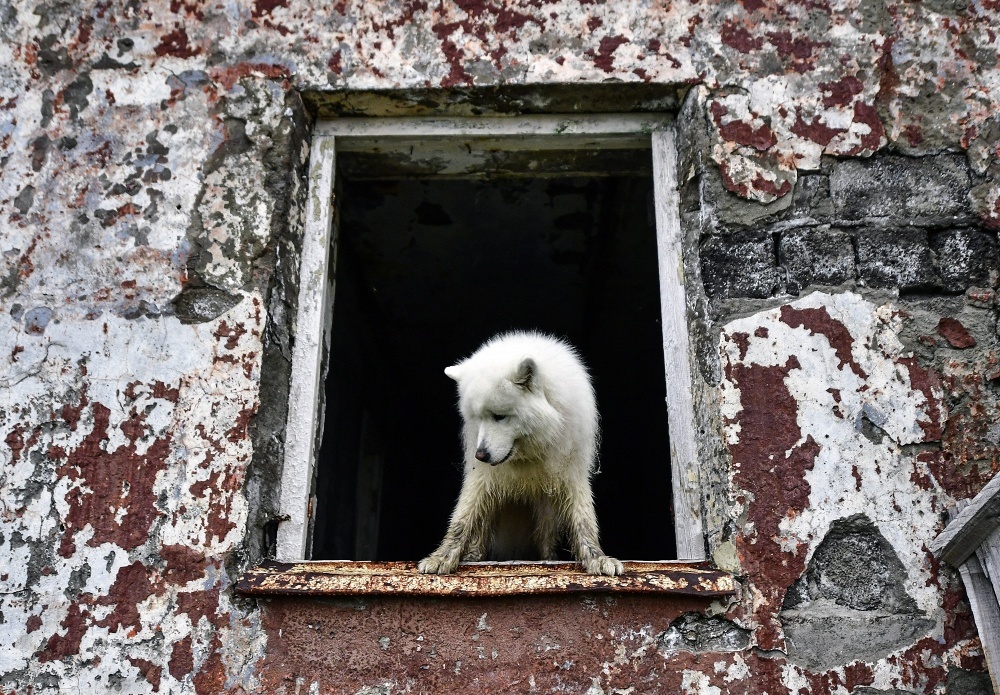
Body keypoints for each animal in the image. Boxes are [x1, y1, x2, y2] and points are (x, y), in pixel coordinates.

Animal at [418, 332, 620, 576]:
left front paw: (597, 558)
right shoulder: (483, 477)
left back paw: (548, 559)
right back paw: (474, 557)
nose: (480, 455)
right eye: (477, 418)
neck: (528, 454)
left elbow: (583, 520)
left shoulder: (571, 472)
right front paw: (442, 557)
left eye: (499, 416)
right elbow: (462, 518)